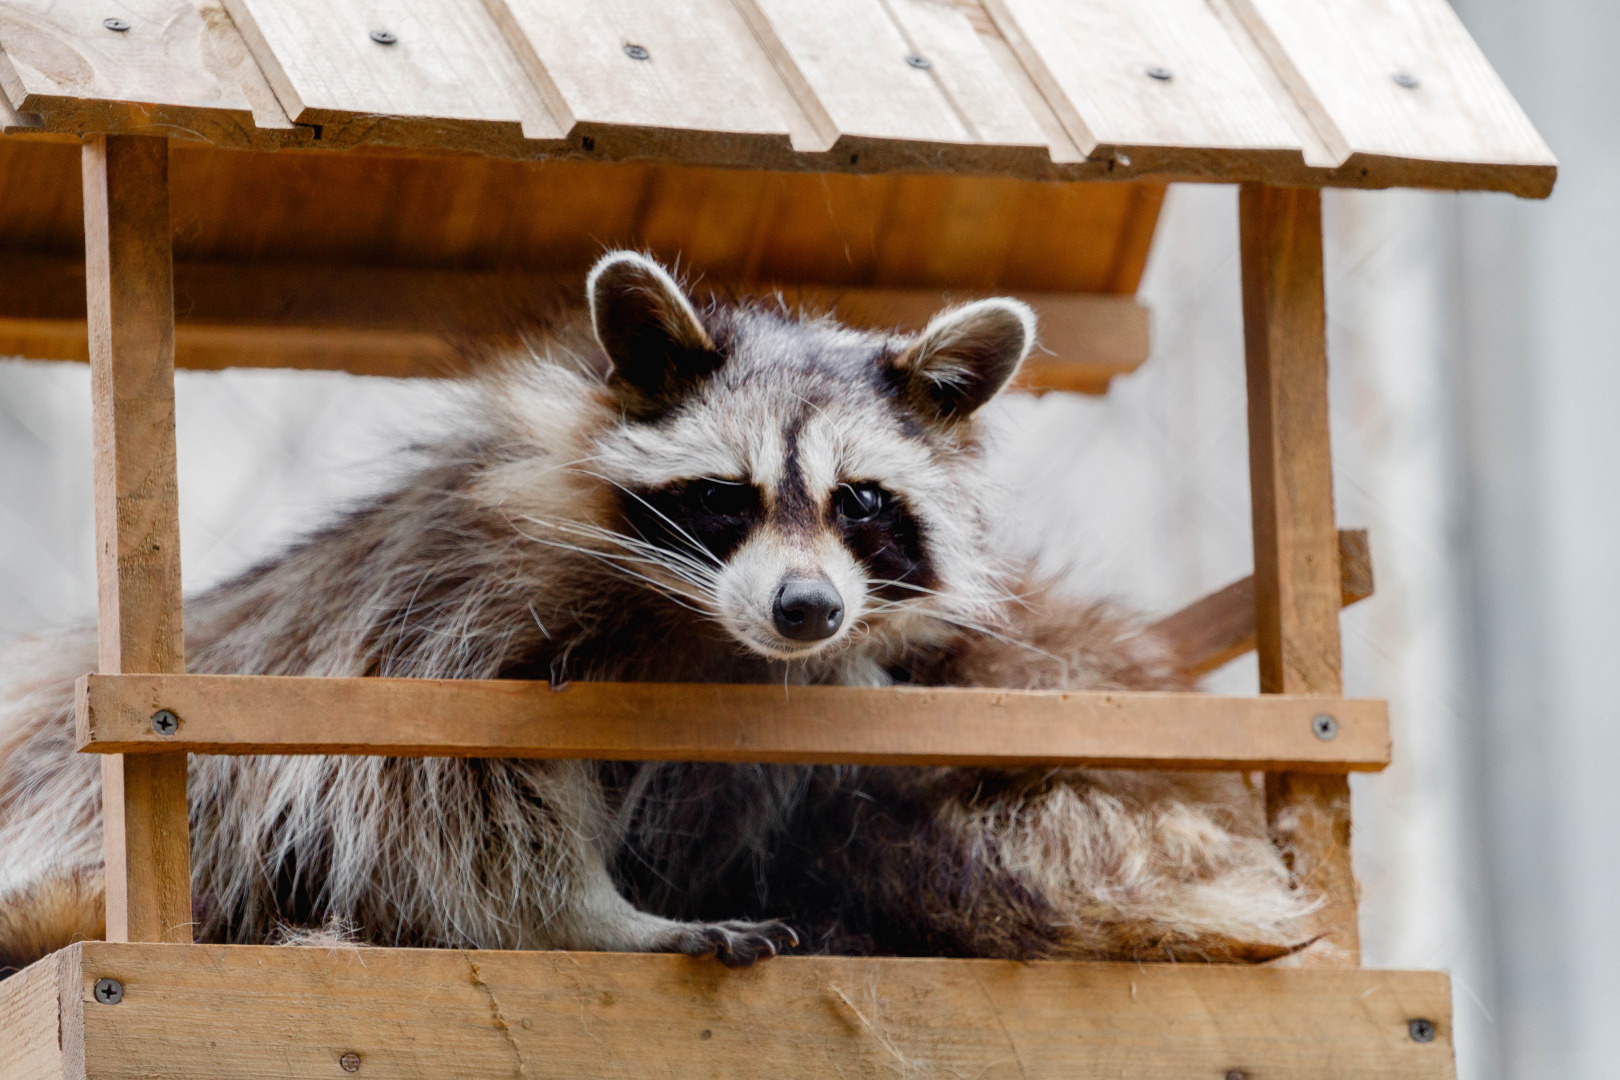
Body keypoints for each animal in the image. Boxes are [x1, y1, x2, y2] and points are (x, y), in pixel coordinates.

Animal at [0, 249, 1315, 977]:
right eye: (725, 496)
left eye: (863, 501)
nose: (804, 609)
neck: (705, 632)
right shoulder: (442, 611)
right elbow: (443, 808)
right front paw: (600, 919)